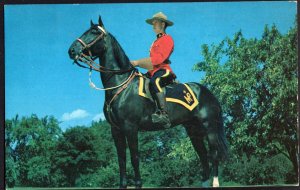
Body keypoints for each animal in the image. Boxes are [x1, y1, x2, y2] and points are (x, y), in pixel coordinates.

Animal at [68, 16, 227, 189]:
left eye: (94, 32)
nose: (72, 50)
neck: (121, 85)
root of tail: (208, 92)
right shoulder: (116, 130)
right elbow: (121, 160)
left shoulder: (130, 128)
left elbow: (135, 158)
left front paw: (138, 183)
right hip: (193, 130)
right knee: (203, 156)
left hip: (209, 127)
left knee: (213, 155)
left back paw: (215, 182)